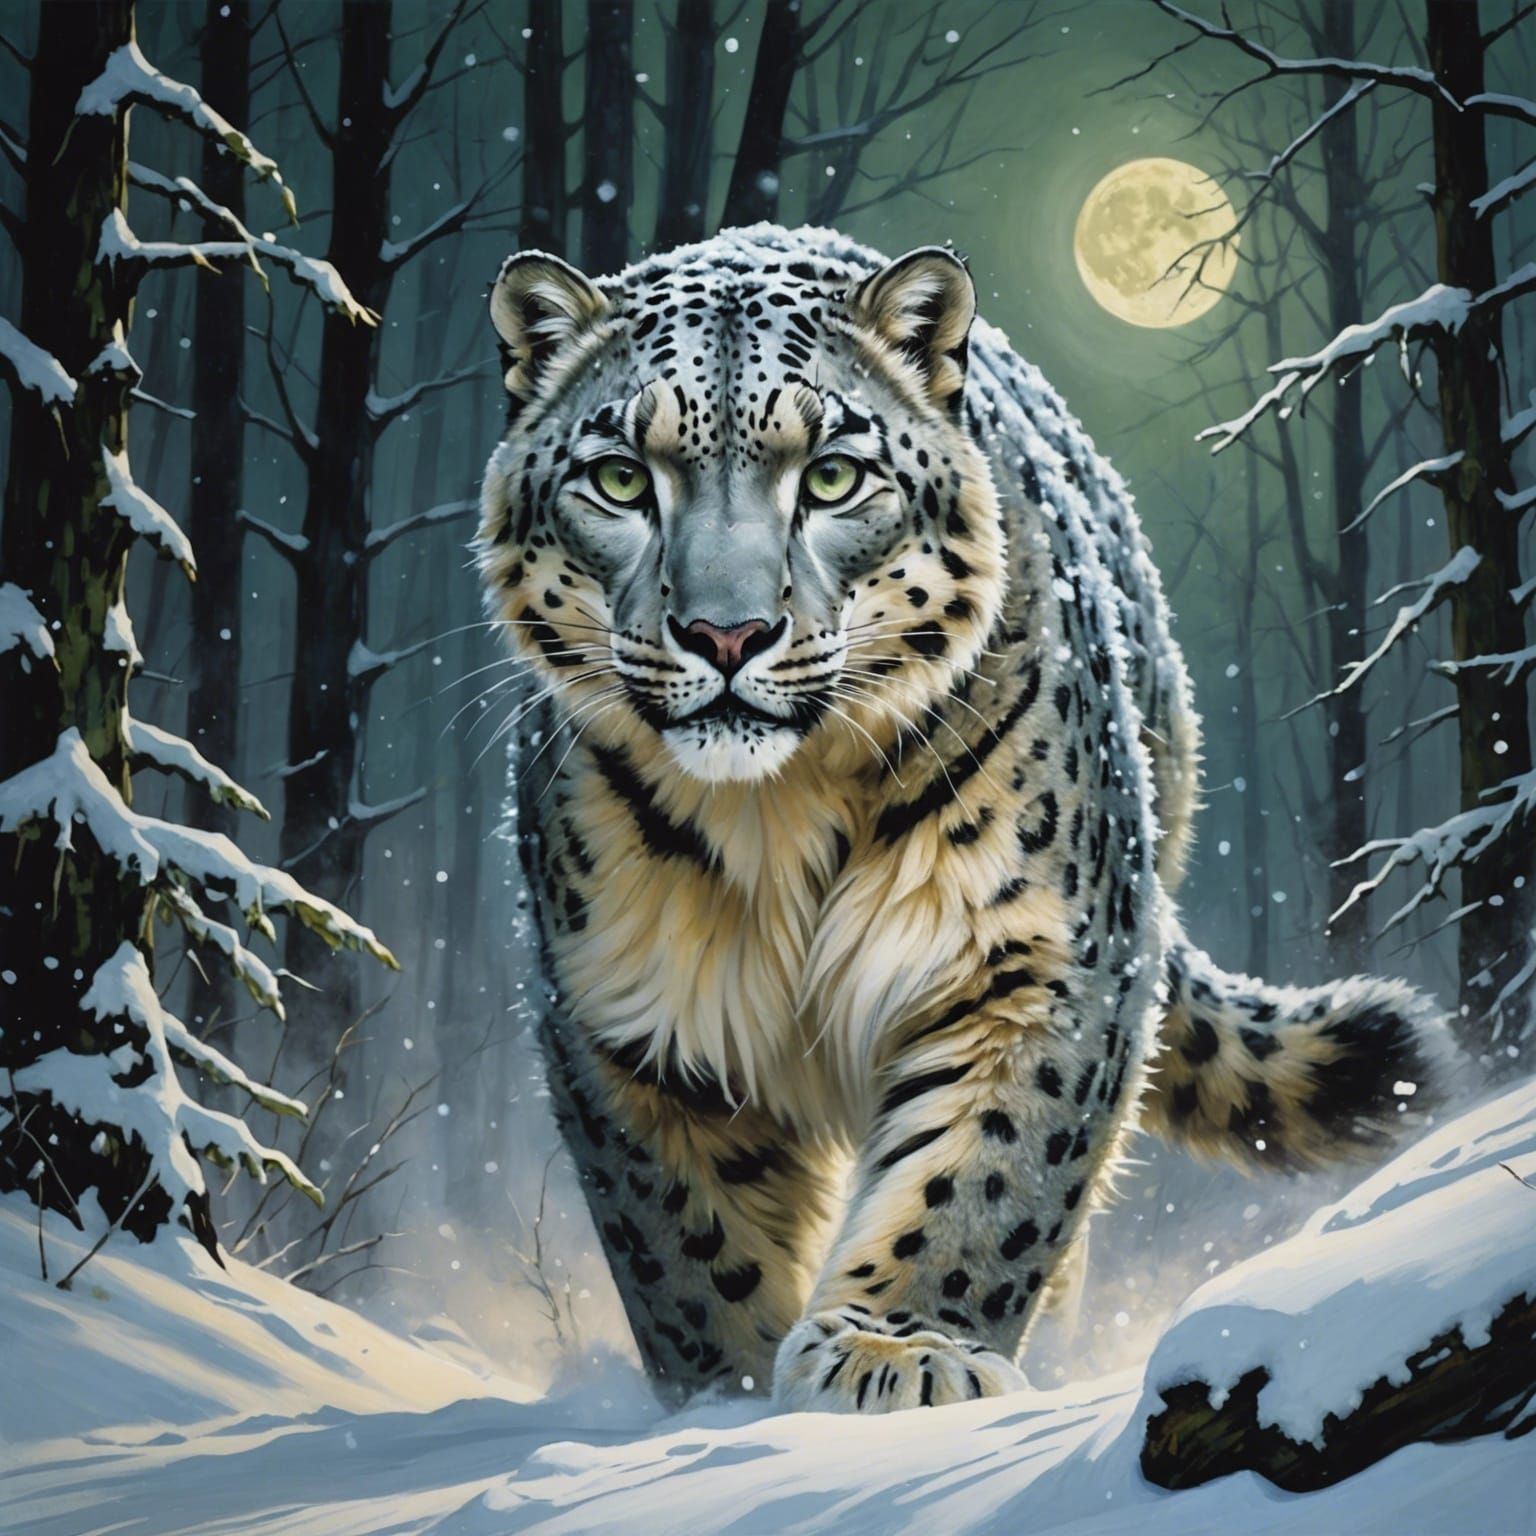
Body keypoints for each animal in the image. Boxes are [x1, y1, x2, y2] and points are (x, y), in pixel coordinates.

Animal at [474, 223, 1452, 1415]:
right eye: (620, 477)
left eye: (832, 475)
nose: (727, 634)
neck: (779, 819)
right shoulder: (625, 1013)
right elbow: (690, 1243)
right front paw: (730, 1394)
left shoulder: (1035, 956)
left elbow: (986, 1169)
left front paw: (898, 1352)